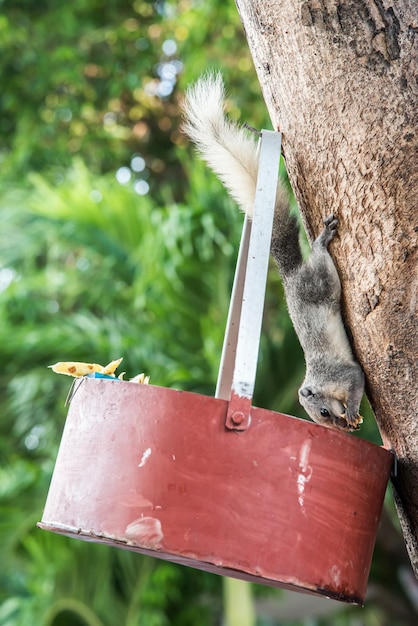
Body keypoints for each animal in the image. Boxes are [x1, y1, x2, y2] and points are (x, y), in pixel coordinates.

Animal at [181, 72, 364, 428]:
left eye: (324, 411)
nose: (338, 427)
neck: (322, 381)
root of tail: (292, 276)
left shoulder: (344, 373)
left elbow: (357, 378)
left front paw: (351, 411)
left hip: (322, 281)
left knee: (320, 258)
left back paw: (322, 239)